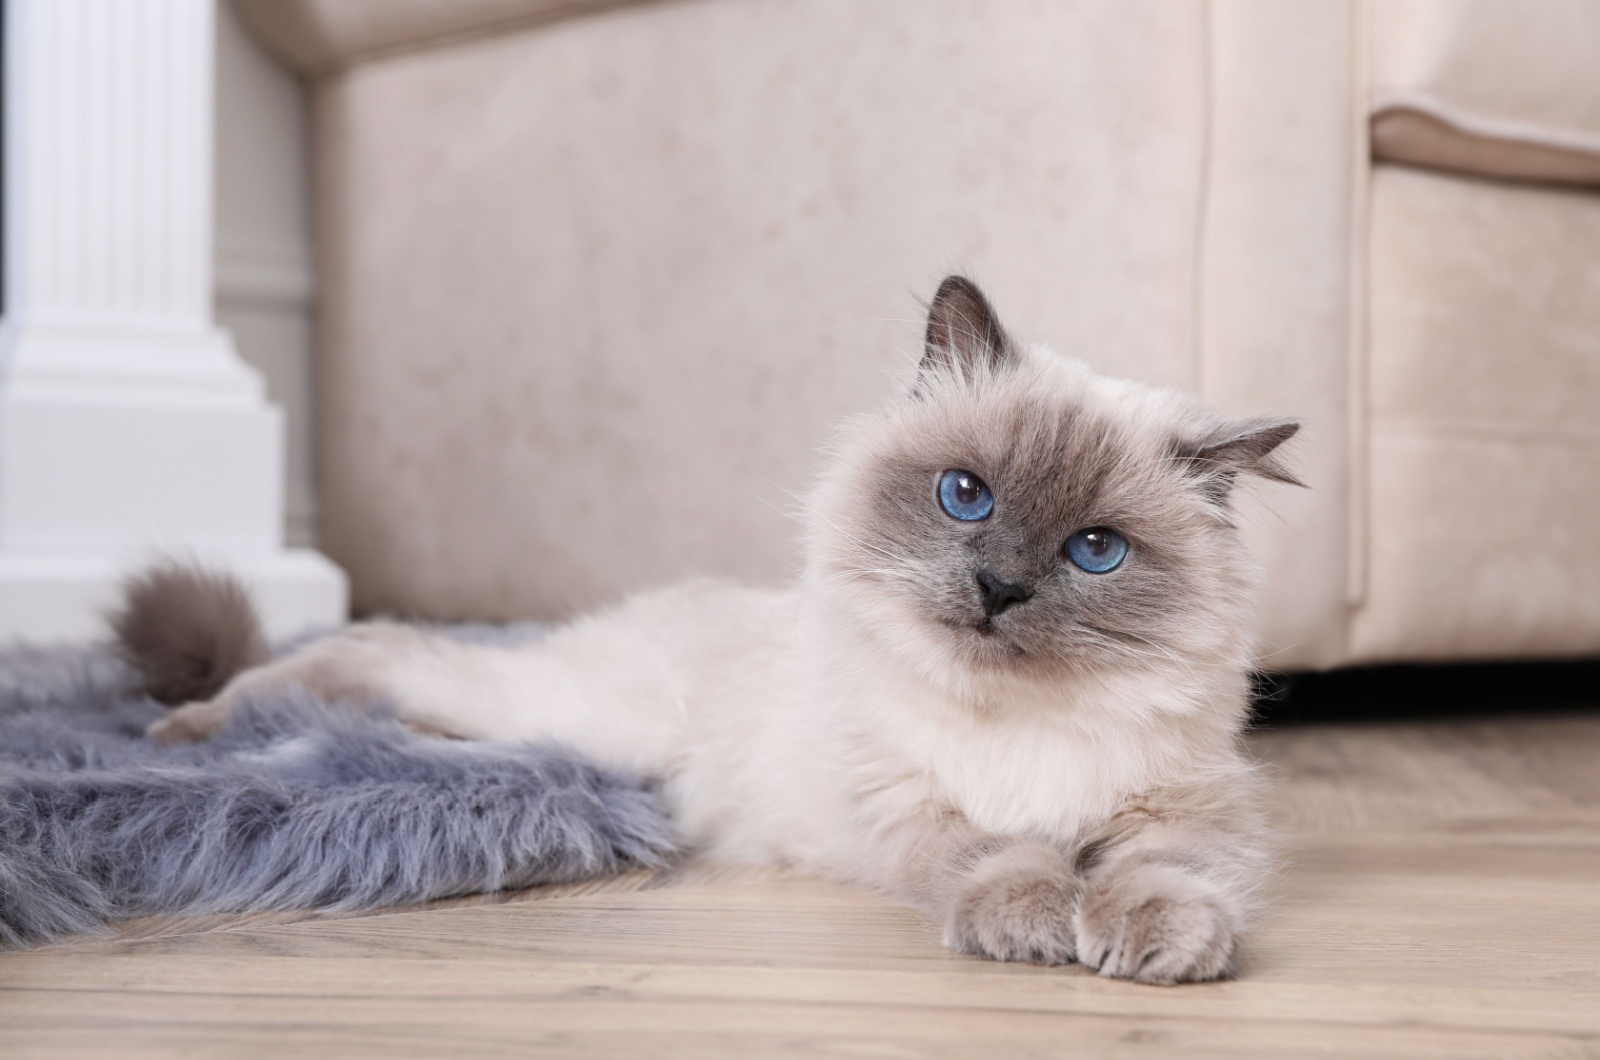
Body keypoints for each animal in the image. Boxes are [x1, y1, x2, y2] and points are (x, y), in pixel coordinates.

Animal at [128, 275, 1299, 986]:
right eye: (965, 496)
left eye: (1095, 551)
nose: (999, 588)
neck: (1017, 719)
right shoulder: (908, 806)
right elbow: (1002, 857)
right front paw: (1038, 923)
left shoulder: (1182, 812)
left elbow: (1163, 875)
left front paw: (1156, 942)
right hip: (580, 711)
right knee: (373, 651)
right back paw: (191, 732)